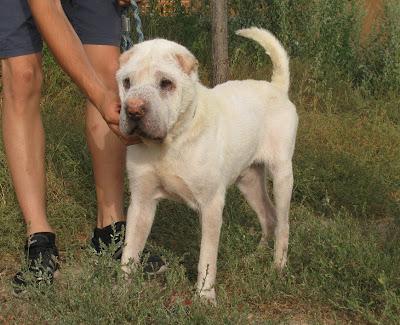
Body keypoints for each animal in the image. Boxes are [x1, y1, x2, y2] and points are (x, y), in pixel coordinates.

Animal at [115, 27, 296, 302]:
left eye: (166, 83)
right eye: (127, 82)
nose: (133, 110)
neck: (170, 143)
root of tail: (277, 88)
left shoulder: (211, 205)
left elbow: (207, 258)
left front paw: (205, 296)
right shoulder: (141, 203)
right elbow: (130, 252)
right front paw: (121, 292)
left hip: (282, 176)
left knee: (283, 224)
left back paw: (277, 267)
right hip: (249, 181)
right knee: (269, 216)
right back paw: (255, 257)